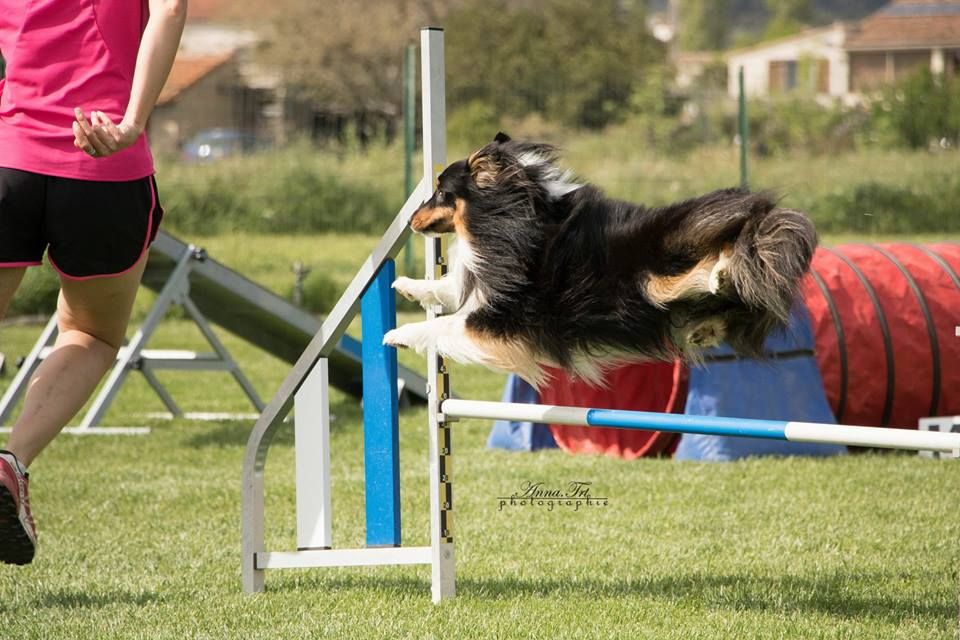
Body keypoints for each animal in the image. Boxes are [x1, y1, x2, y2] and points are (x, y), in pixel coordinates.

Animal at [382, 132, 816, 388]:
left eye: (441, 192)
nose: (410, 218)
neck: (508, 217)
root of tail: (758, 215)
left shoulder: (501, 321)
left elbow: (444, 325)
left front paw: (398, 334)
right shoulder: (480, 281)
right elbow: (447, 286)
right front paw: (405, 285)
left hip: (657, 268)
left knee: (701, 272)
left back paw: (719, 276)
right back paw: (705, 327)